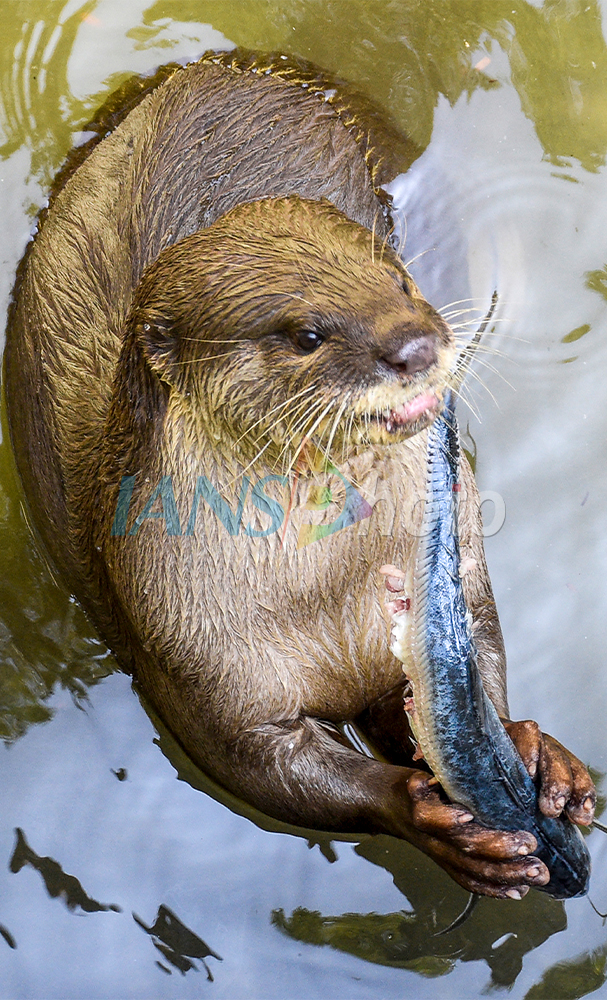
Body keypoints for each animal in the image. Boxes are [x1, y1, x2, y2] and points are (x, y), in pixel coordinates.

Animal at [4, 49, 595, 899]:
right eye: (307, 334)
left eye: (400, 283)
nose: (414, 343)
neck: (322, 594)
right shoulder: (191, 657)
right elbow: (258, 764)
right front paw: (425, 817)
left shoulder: (458, 574)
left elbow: (473, 640)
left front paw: (540, 758)